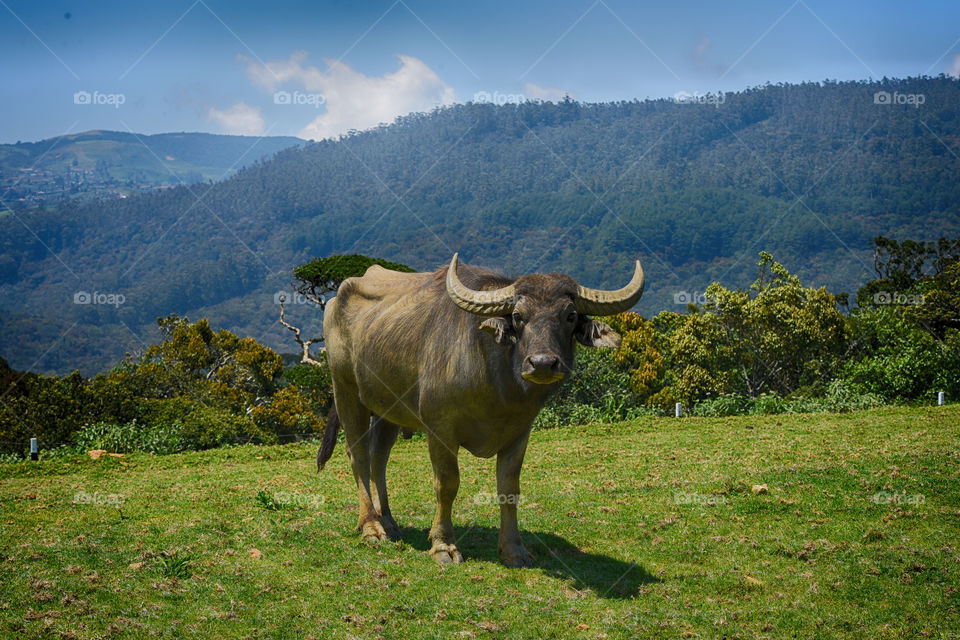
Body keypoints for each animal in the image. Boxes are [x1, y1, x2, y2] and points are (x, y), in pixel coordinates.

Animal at [318, 253, 644, 566]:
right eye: (518, 316)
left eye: (570, 315)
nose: (542, 363)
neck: (497, 386)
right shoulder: (439, 429)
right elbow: (447, 484)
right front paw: (443, 545)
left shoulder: (519, 433)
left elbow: (509, 487)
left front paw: (514, 550)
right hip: (346, 391)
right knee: (358, 456)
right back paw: (371, 526)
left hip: (388, 411)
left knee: (379, 459)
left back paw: (388, 520)